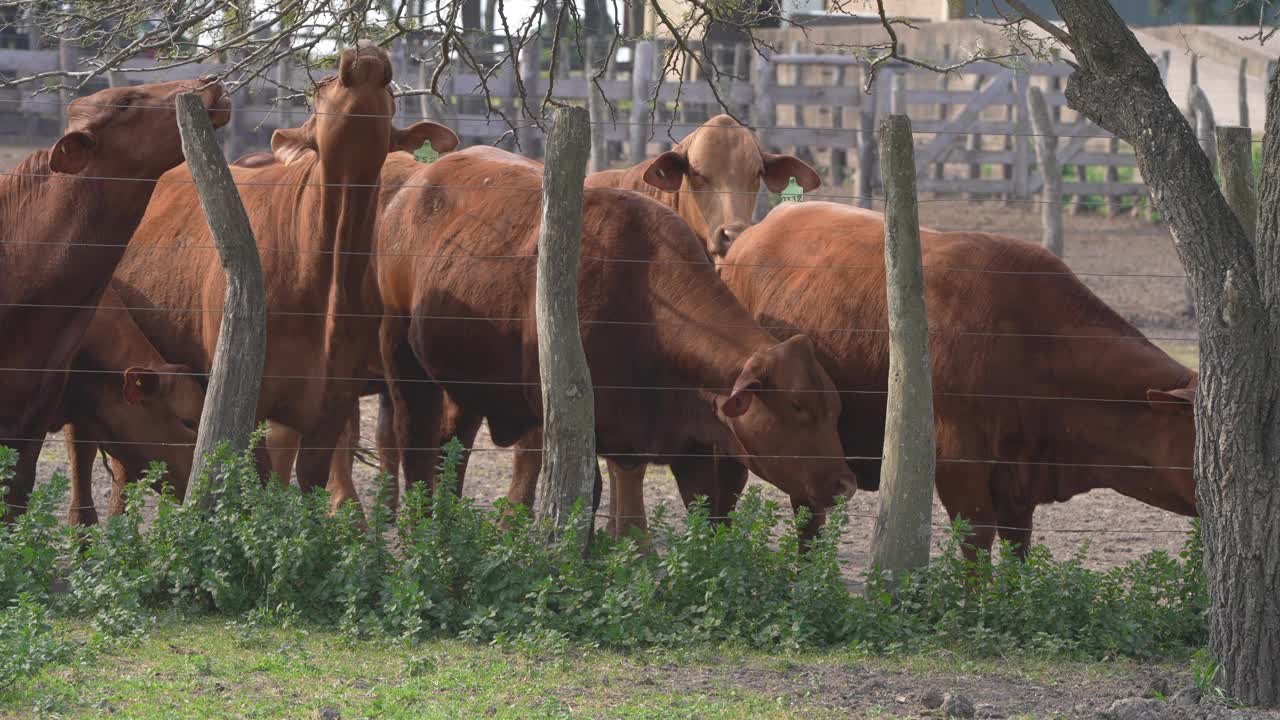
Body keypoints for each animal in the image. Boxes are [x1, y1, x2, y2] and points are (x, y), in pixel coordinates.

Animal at [108, 40, 460, 509]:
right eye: (320, 86)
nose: (366, 50)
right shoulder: (251, 398)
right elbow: (259, 481)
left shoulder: (331, 402)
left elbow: (310, 482)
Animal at [360, 146, 855, 525]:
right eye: (797, 406)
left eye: (834, 408)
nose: (844, 484)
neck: (642, 292)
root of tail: (417, 183)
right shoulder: (571, 424)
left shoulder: (686, 442)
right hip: (403, 359)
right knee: (415, 442)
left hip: (463, 385)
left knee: (452, 448)